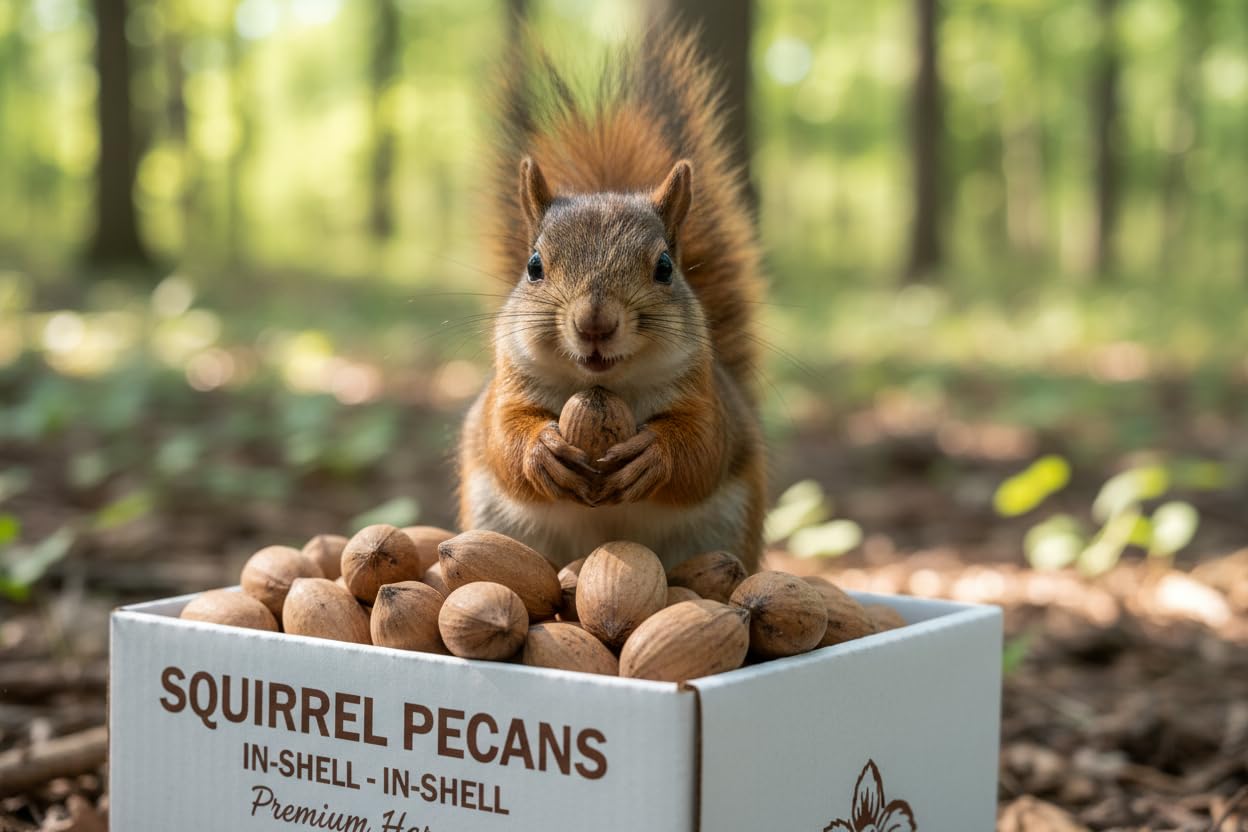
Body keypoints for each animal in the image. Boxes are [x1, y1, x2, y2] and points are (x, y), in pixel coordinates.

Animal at [456, 27, 766, 572]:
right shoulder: (508, 389)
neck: (606, 386)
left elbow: (702, 450)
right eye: (533, 266)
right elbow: (503, 437)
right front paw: (540, 450)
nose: (594, 324)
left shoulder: (707, 400)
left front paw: (654, 456)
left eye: (665, 267)